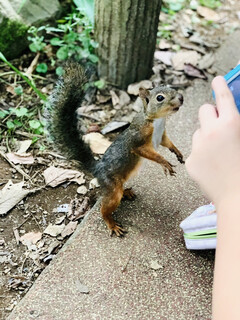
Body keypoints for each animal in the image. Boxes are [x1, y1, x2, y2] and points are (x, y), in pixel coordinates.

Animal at [47, 62, 185, 236]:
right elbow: (146, 151)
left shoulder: (162, 135)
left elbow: (168, 143)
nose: (181, 98)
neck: (157, 120)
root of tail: (97, 169)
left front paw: (178, 153)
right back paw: (112, 224)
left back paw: (127, 192)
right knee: (104, 209)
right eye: (160, 98)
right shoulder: (138, 141)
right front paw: (165, 163)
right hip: (112, 188)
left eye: (171, 88)